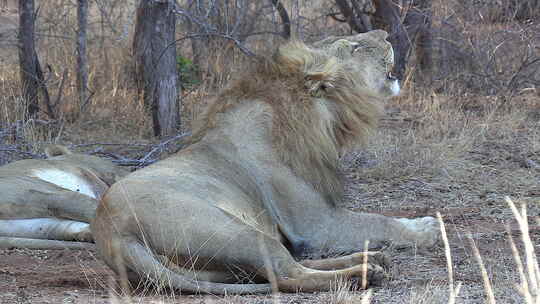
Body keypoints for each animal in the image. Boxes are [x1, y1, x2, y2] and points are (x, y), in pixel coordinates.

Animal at [92, 29, 438, 294]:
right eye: (353, 46)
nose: (386, 34)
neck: (321, 118)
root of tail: (114, 236)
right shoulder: (316, 225)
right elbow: (377, 221)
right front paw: (426, 228)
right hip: (238, 232)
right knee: (288, 274)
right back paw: (363, 273)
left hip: (224, 263)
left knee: (289, 265)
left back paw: (371, 259)